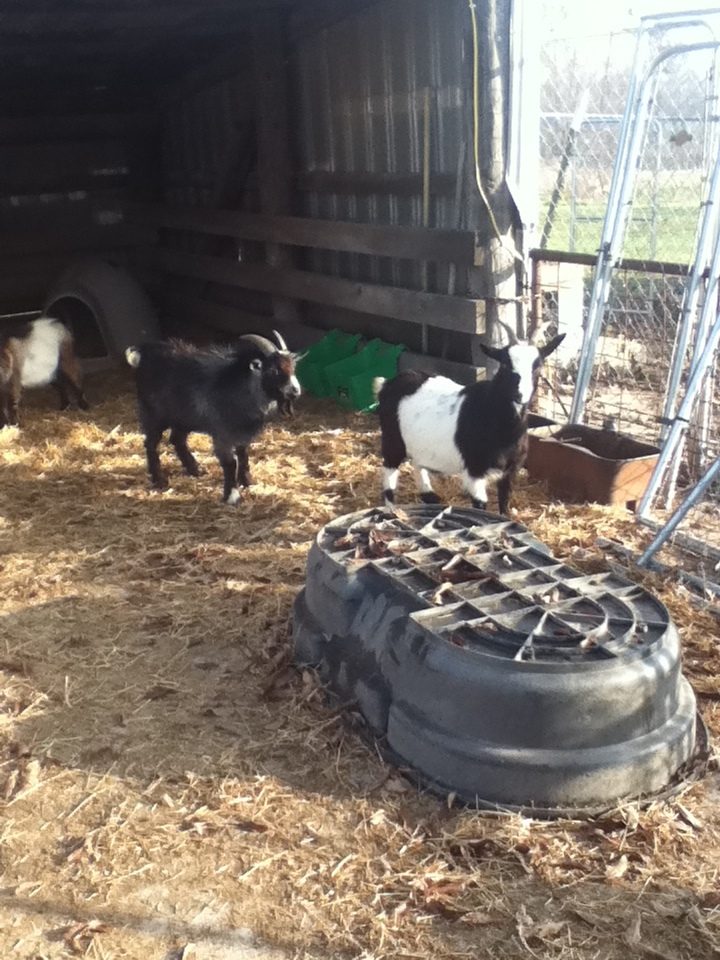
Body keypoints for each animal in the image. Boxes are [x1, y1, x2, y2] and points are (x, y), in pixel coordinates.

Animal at [125, 330, 300, 506]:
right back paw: (159, 480)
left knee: (177, 439)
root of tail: (143, 354)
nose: (296, 390)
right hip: (153, 414)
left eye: (292, 368)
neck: (241, 388)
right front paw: (232, 496)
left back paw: (195, 470)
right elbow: (230, 463)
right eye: (274, 370)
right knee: (151, 443)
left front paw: (247, 481)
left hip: (183, 418)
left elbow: (244, 455)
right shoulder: (222, 434)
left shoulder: (241, 433)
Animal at [374, 322, 564, 512]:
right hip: (392, 438)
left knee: (417, 463)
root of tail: (387, 384)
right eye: (504, 364)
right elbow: (480, 505)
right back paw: (392, 509)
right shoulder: (475, 470)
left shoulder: (510, 471)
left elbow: (504, 504)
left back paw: (429, 495)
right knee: (389, 472)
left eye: (538, 366)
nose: (520, 395)